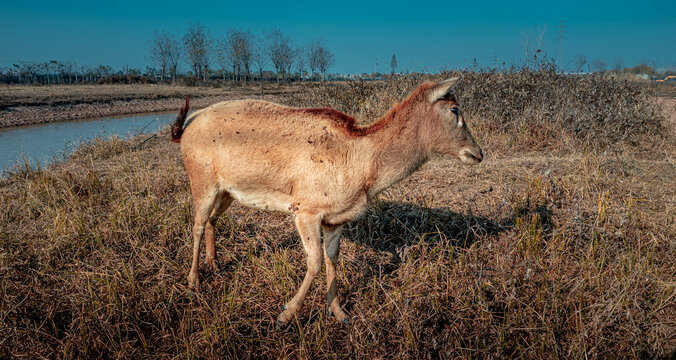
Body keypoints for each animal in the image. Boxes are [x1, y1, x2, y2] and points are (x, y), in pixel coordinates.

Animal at [172, 77, 484, 324]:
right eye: (455, 109)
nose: (479, 152)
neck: (364, 171)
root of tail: (186, 125)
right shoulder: (305, 210)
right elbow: (315, 262)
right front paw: (285, 314)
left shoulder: (337, 218)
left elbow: (333, 258)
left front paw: (339, 312)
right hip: (201, 180)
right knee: (197, 224)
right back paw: (194, 282)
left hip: (227, 191)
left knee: (212, 221)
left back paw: (214, 264)